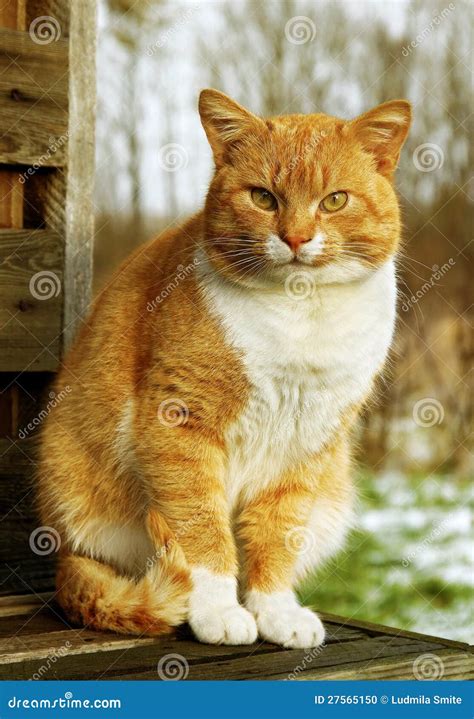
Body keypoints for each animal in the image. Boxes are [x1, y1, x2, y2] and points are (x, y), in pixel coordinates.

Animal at [38, 88, 412, 648]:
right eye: (263, 198)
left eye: (334, 200)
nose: (296, 238)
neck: (302, 315)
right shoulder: (179, 427)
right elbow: (202, 531)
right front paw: (216, 610)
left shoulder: (305, 447)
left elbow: (278, 534)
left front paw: (274, 611)